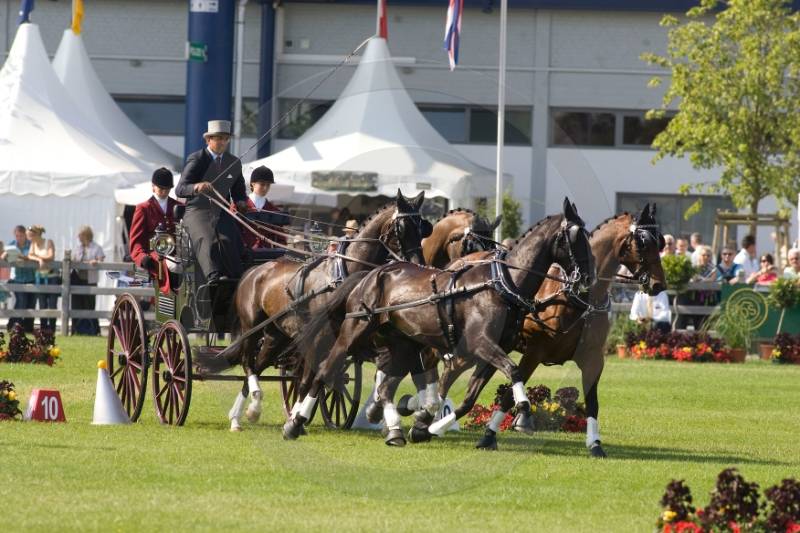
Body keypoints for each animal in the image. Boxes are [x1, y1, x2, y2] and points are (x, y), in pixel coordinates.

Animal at [199, 190, 429, 432]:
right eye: (401, 228)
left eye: (422, 227)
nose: (418, 265)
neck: (342, 275)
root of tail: (254, 270)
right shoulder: (319, 336)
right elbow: (309, 377)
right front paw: (297, 418)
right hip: (251, 327)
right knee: (247, 362)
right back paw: (248, 407)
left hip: (275, 335)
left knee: (258, 364)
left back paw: (244, 413)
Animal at [283, 198, 596, 445]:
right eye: (576, 237)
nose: (589, 277)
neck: (500, 284)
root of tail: (369, 274)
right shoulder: (480, 344)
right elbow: (512, 372)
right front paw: (525, 414)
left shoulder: (489, 350)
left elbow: (469, 397)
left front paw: (425, 426)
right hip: (354, 331)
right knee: (326, 369)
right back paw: (295, 422)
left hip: (401, 344)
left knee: (384, 386)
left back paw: (394, 431)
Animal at [415, 203, 666, 455]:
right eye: (642, 242)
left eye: (661, 242)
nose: (659, 285)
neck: (577, 299)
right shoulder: (534, 352)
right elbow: (509, 395)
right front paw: (496, 432)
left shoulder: (593, 357)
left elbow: (592, 402)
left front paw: (595, 444)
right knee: (442, 370)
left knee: (452, 373)